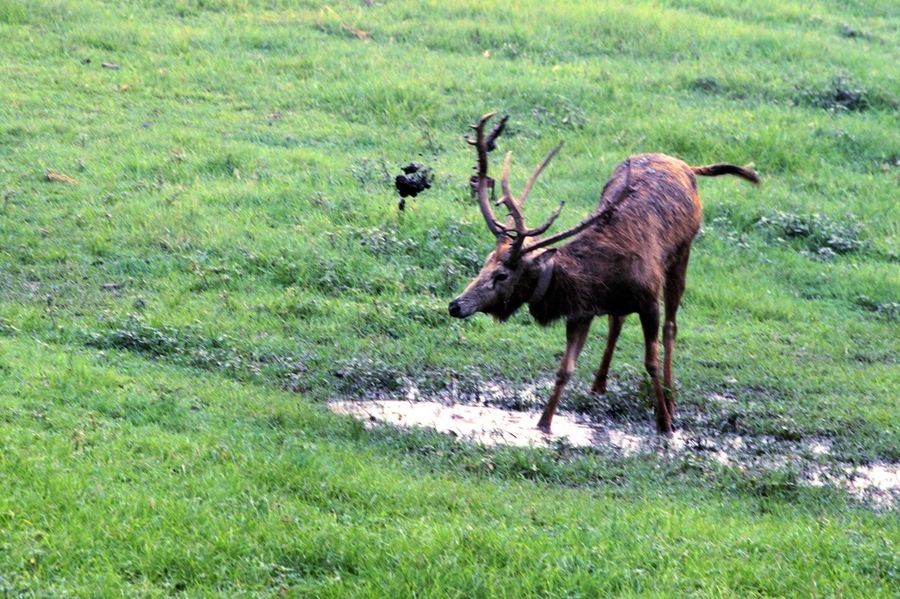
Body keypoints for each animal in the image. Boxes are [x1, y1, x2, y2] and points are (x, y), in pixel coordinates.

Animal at [446, 113, 756, 436]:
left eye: (503, 275)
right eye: (485, 263)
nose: (456, 305)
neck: (596, 280)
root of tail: (686, 166)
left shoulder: (648, 300)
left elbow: (651, 361)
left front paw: (664, 424)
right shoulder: (581, 312)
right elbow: (564, 368)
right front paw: (543, 424)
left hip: (683, 254)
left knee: (671, 326)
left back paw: (671, 401)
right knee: (616, 323)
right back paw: (599, 385)